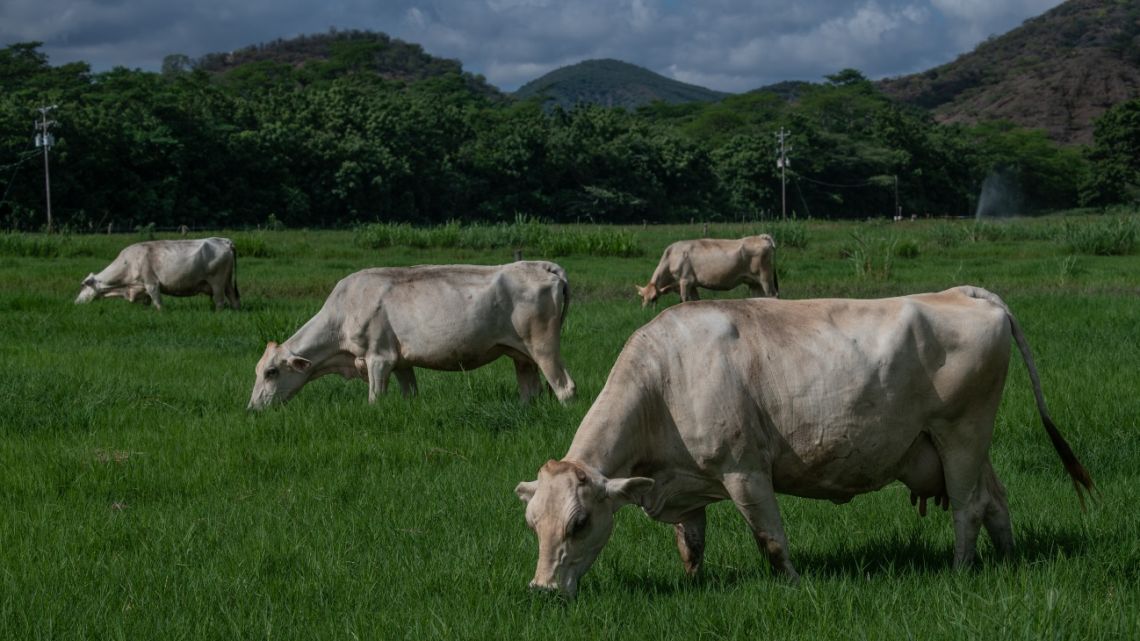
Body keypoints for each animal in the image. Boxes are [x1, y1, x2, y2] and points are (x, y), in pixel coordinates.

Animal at [74, 238, 239, 310]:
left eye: (82, 286)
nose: (75, 302)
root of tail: (225, 241)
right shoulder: (142, 288)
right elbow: (147, 303)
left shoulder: (151, 284)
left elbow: (158, 304)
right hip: (227, 282)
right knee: (233, 298)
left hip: (217, 282)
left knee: (220, 301)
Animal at [245, 261, 574, 406]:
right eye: (258, 371)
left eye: (272, 372)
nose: (252, 408)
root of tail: (544, 266)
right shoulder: (401, 361)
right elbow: (409, 396)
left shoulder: (379, 358)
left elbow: (375, 399)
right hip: (521, 355)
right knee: (530, 391)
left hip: (544, 347)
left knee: (565, 388)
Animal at [515, 287, 1085, 597]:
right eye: (532, 523)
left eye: (580, 522)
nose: (542, 590)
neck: (665, 380)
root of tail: (960, 292)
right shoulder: (684, 484)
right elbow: (691, 546)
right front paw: (694, 586)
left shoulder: (744, 469)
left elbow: (770, 540)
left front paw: (793, 584)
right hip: (964, 443)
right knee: (995, 502)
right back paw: (1008, 560)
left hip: (960, 434)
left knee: (968, 509)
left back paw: (961, 570)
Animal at [638, 233, 779, 305]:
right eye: (642, 299)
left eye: (654, 298)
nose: (645, 310)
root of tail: (761, 237)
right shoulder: (692, 284)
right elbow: (695, 301)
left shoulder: (685, 280)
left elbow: (683, 300)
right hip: (753, 282)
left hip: (765, 277)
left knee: (772, 296)